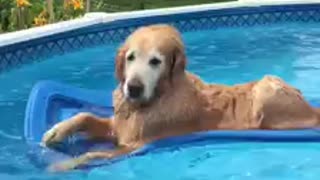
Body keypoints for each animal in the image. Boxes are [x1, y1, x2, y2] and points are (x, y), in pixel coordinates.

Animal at [42, 23, 320, 172]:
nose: (133, 88)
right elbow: (85, 115)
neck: (156, 98)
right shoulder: (118, 127)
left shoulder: (132, 146)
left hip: (266, 88)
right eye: (130, 57)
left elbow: (92, 155)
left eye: (155, 61)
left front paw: (63, 165)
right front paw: (57, 131)